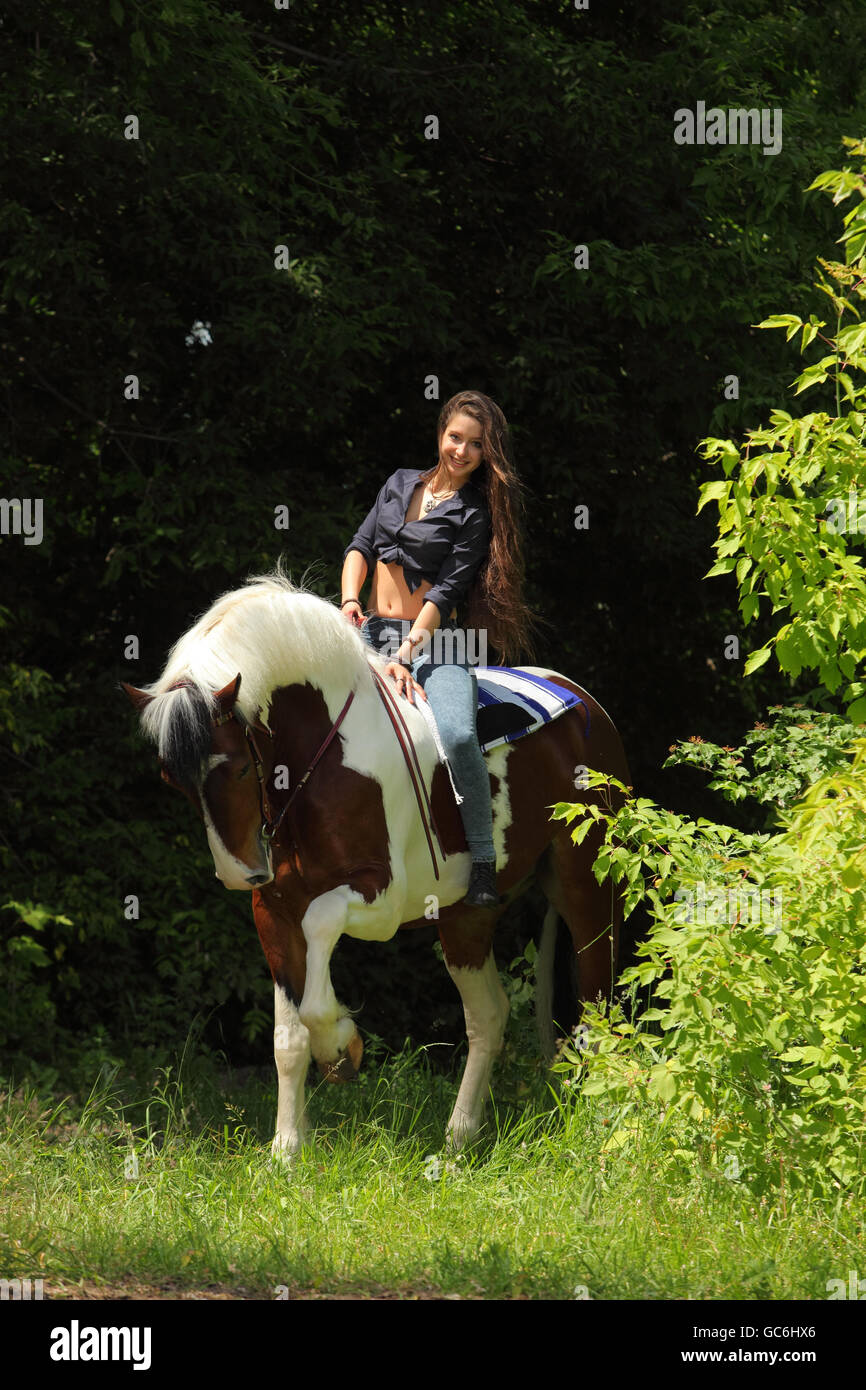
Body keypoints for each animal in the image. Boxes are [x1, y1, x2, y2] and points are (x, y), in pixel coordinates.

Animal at [123, 569, 631, 1156]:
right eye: (172, 779)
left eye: (237, 768)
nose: (238, 871)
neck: (321, 759)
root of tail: (591, 709)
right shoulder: (272, 910)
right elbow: (286, 1038)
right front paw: (286, 1149)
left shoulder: (380, 897)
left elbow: (319, 944)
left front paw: (341, 1045)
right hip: (467, 919)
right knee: (489, 1014)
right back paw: (457, 1141)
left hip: (587, 890)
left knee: (597, 1005)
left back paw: (596, 1127)